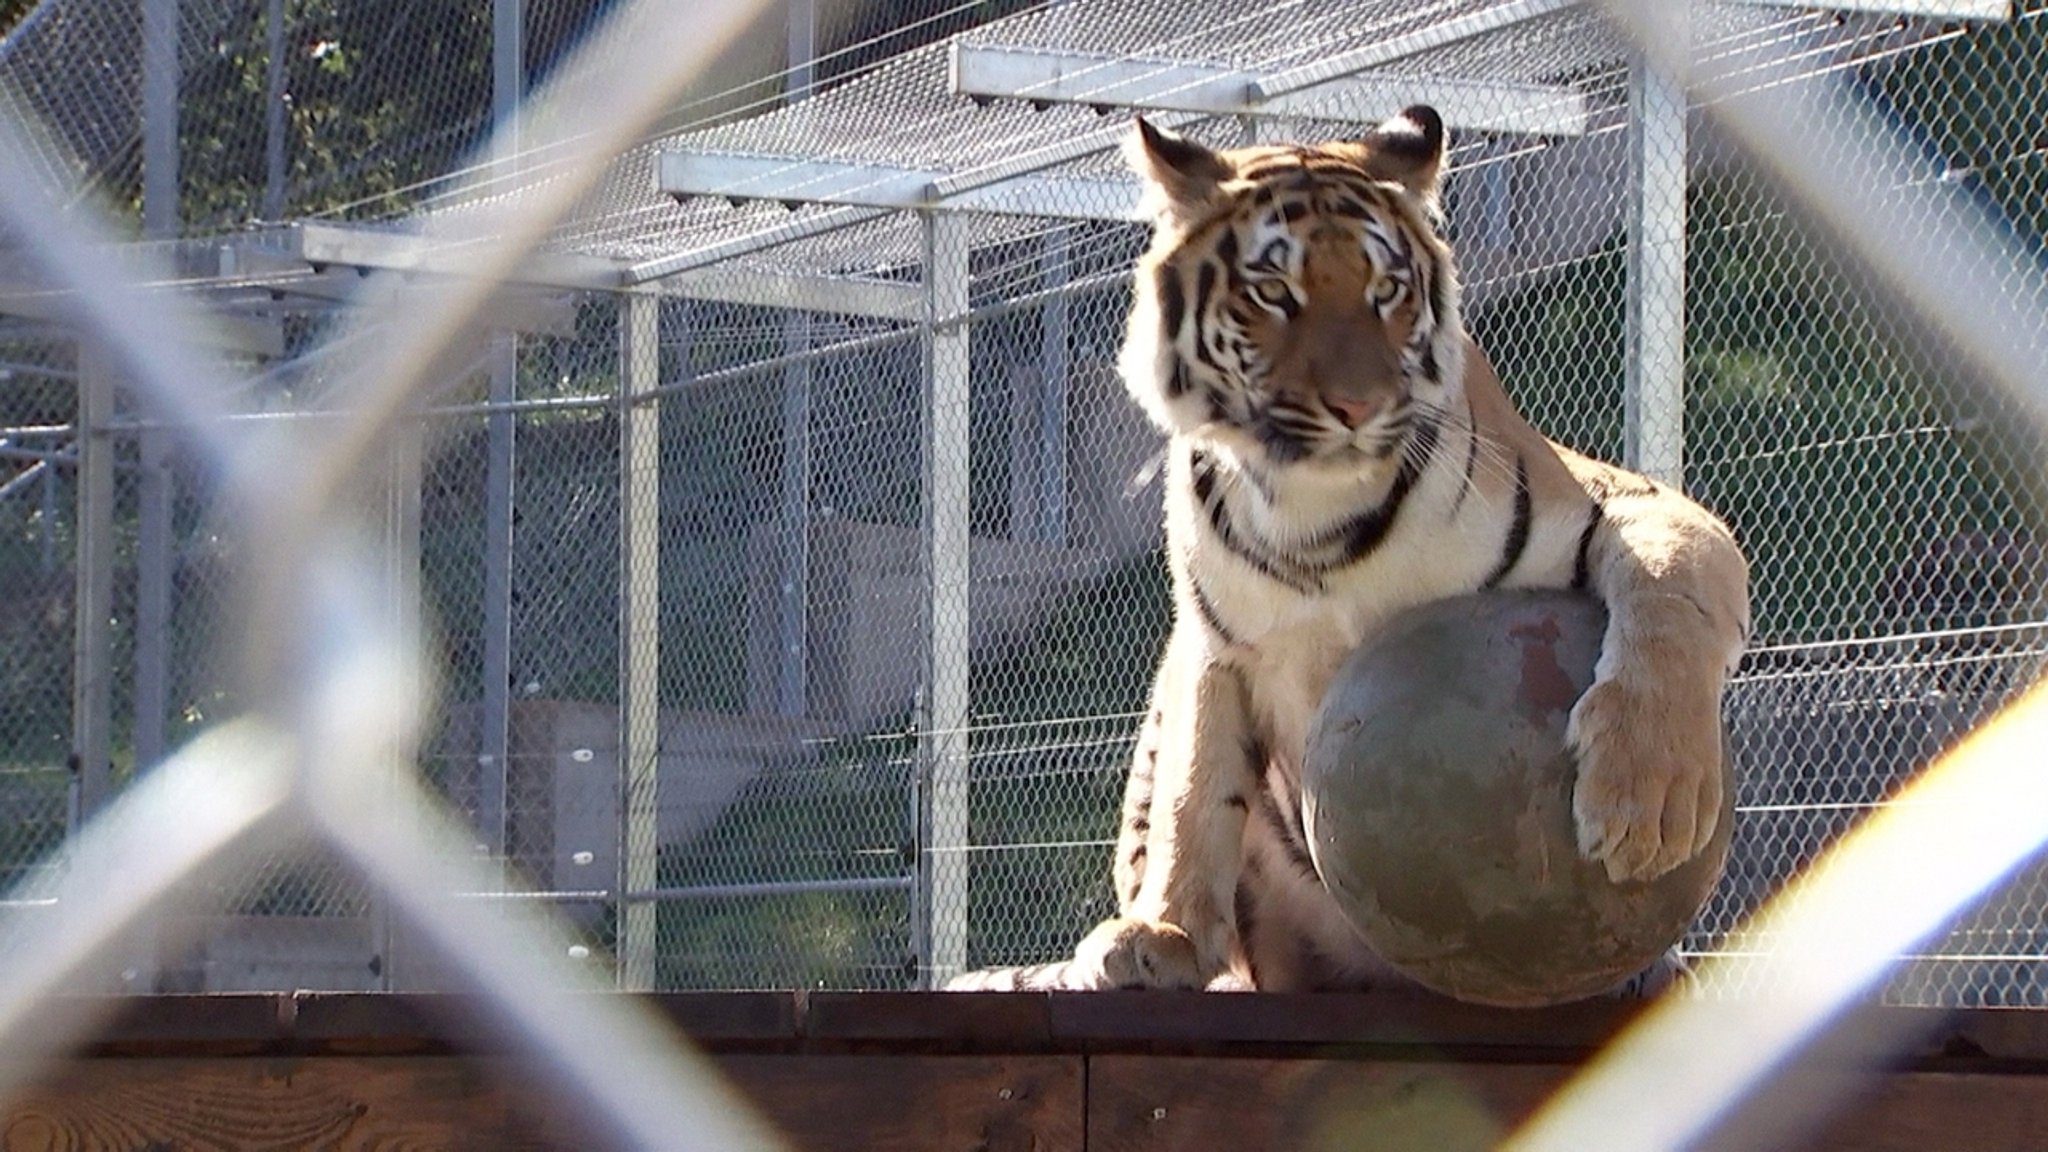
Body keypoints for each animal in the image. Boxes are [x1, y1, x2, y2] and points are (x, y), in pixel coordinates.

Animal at [950, 103, 1753, 992]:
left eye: (1387, 291)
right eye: (1274, 292)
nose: (1358, 406)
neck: (1314, 518)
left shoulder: (1619, 502)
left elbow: (1670, 601)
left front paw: (1650, 799)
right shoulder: (1212, 644)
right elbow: (1196, 789)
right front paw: (1164, 931)